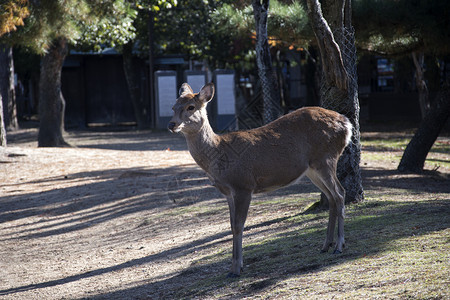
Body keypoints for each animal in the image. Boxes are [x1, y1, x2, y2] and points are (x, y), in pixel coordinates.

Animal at [168, 82, 352, 276]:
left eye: (191, 107)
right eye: (173, 107)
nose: (171, 124)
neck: (219, 154)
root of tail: (346, 124)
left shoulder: (243, 185)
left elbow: (238, 225)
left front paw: (236, 269)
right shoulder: (228, 193)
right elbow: (231, 225)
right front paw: (233, 266)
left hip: (326, 158)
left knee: (340, 193)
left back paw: (339, 246)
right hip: (312, 169)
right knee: (331, 197)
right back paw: (326, 245)